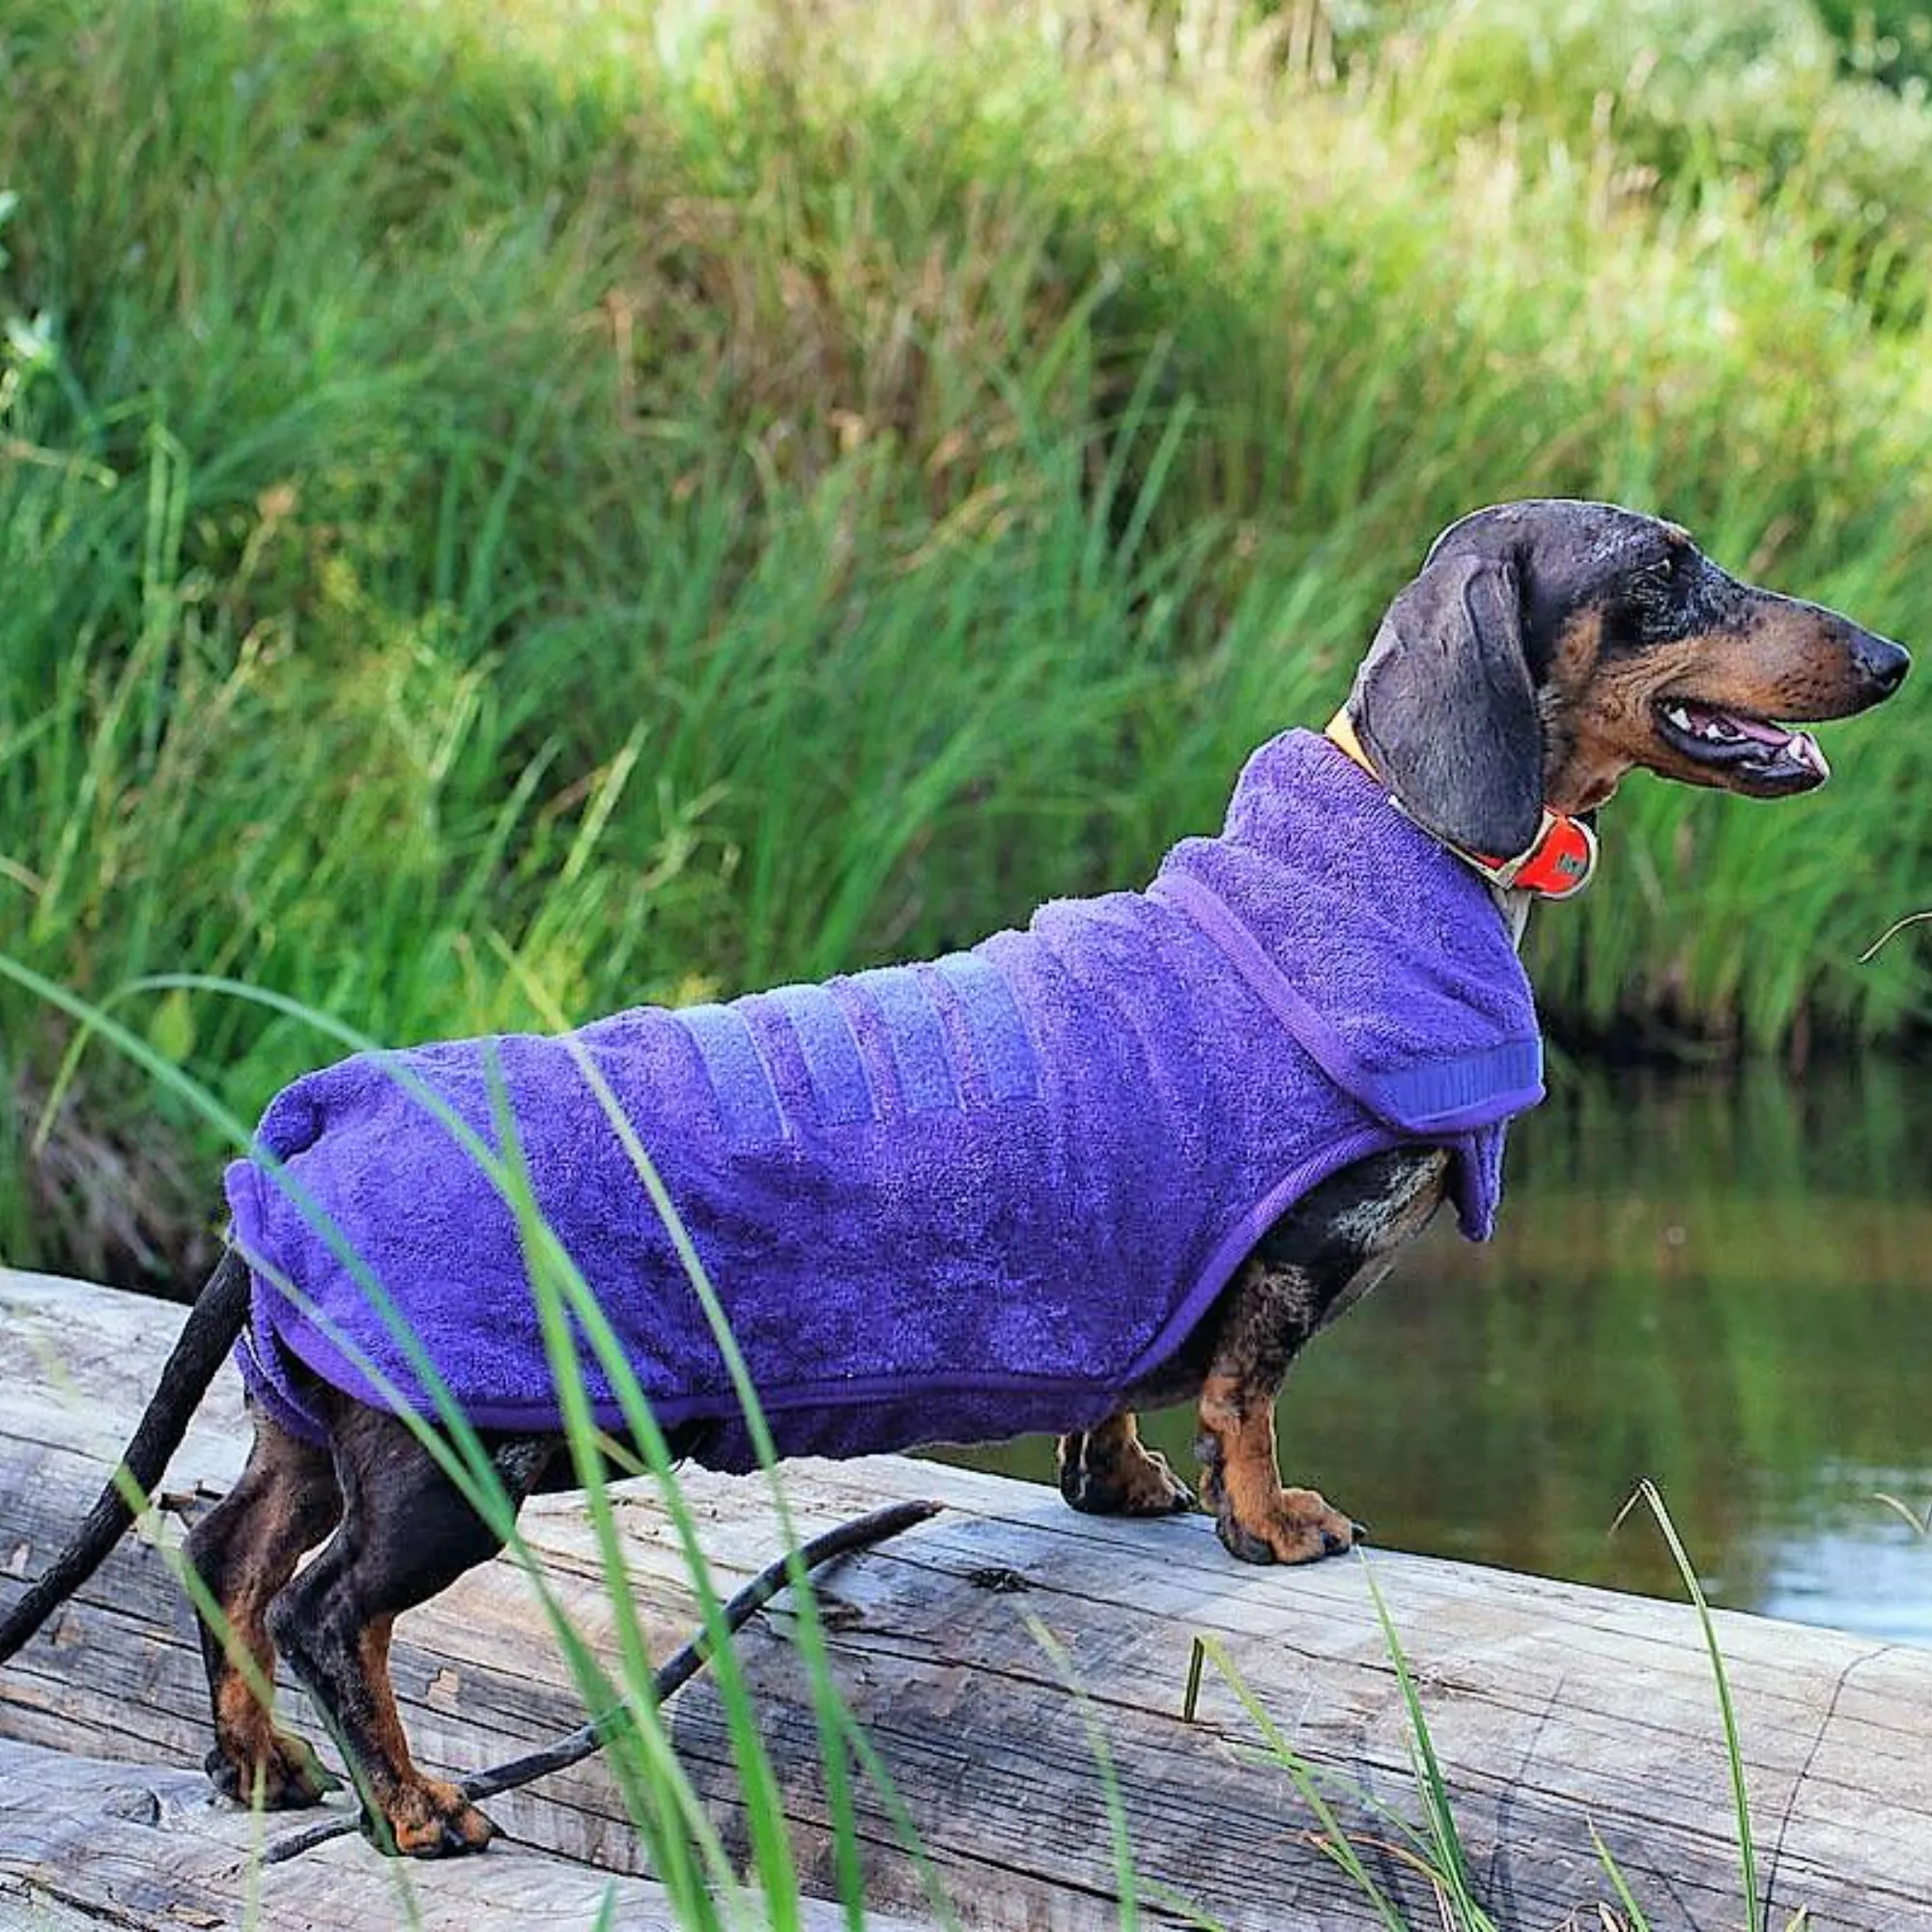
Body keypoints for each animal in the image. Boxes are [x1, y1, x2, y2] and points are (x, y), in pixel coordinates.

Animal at [0, 502, 1901, 1855]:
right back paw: (414, 1809)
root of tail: (313, 1124)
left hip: (317, 1425)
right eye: (1662, 573)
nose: (1887, 659)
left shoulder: (1150, 1269)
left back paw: (260, 1773)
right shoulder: (1290, 1252)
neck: (1406, 852)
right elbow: (1252, 1393)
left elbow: (1131, 1385)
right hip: (453, 1455)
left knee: (224, 1557)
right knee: (325, 1613)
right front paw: (1272, 1522)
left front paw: (1122, 1484)